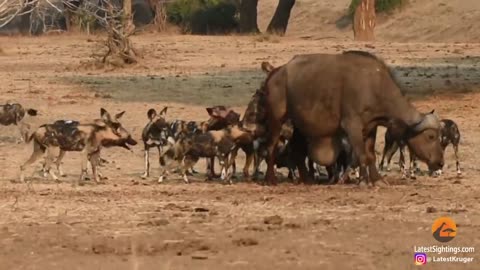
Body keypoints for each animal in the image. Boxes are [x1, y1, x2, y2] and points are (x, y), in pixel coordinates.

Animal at [260, 50, 444, 186]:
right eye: (431, 136)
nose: (440, 163)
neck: (374, 86)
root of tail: (276, 73)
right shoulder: (352, 125)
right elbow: (362, 154)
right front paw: (363, 181)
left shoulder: (371, 127)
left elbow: (371, 155)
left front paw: (377, 179)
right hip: (277, 120)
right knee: (270, 147)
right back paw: (270, 179)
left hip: (299, 125)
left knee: (297, 151)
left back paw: (306, 179)